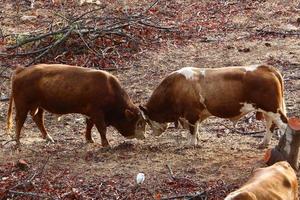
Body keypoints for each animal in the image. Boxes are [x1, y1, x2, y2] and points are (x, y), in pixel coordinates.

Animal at [7, 65, 146, 146]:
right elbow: (101, 128)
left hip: (39, 106)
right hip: (22, 105)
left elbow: (89, 124)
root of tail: (22, 70)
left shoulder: (92, 113)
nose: (144, 136)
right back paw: (18, 142)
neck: (110, 89)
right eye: (139, 123)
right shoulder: (97, 113)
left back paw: (48, 138)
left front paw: (89, 139)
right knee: (20, 120)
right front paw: (106, 144)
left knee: (38, 118)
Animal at [141, 65, 288, 148]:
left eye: (146, 120)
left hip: (272, 108)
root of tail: (266, 68)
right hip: (267, 110)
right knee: (270, 125)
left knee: (284, 124)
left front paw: (190, 144)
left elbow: (192, 130)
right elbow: (194, 130)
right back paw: (264, 143)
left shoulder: (191, 114)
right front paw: (196, 141)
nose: (153, 133)